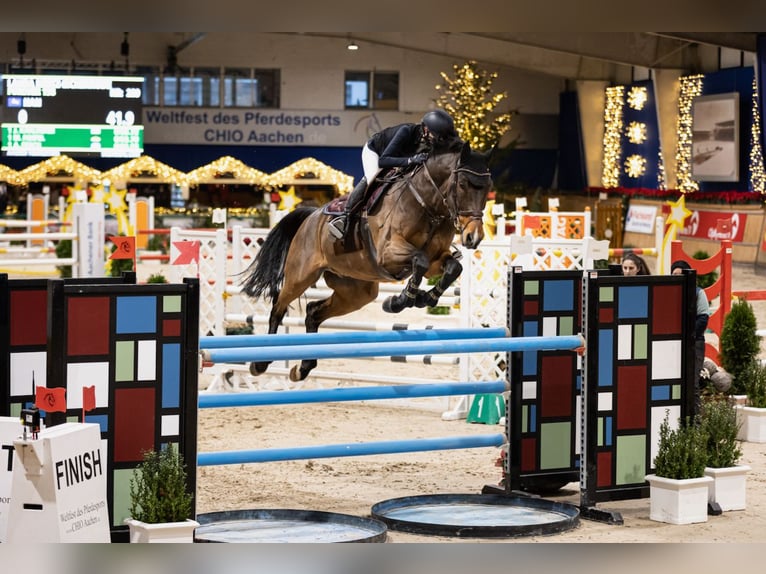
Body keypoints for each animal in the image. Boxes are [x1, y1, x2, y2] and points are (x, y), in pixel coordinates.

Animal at [240, 141, 496, 382]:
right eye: (462, 184)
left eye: (488, 188)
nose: (473, 237)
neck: (428, 204)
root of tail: (311, 215)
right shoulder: (388, 253)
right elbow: (420, 261)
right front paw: (399, 301)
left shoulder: (436, 258)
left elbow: (453, 266)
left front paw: (426, 298)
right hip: (301, 276)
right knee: (278, 306)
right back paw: (261, 363)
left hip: (356, 291)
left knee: (313, 311)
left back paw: (303, 368)